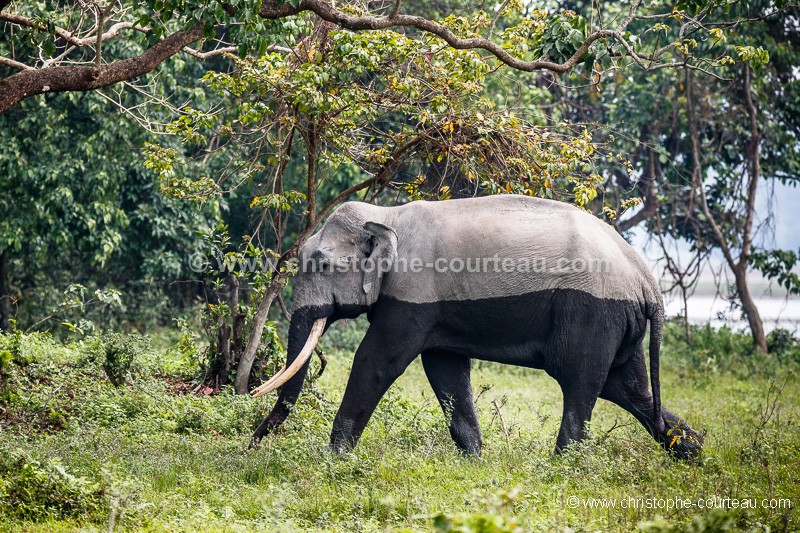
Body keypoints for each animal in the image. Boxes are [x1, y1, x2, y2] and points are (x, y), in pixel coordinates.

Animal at [253, 193, 704, 460]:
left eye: (321, 265)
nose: (254, 440)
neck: (387, 216)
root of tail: (646, 280)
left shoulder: (412, 292)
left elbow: (379, 360)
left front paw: (334, 458)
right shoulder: (433, 305)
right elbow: (445, 367)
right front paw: (474, 458)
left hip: (592, 312)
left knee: (581, 381)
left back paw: (562, 466)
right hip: (616, 320)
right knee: (628, 388)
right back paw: (692, 452)